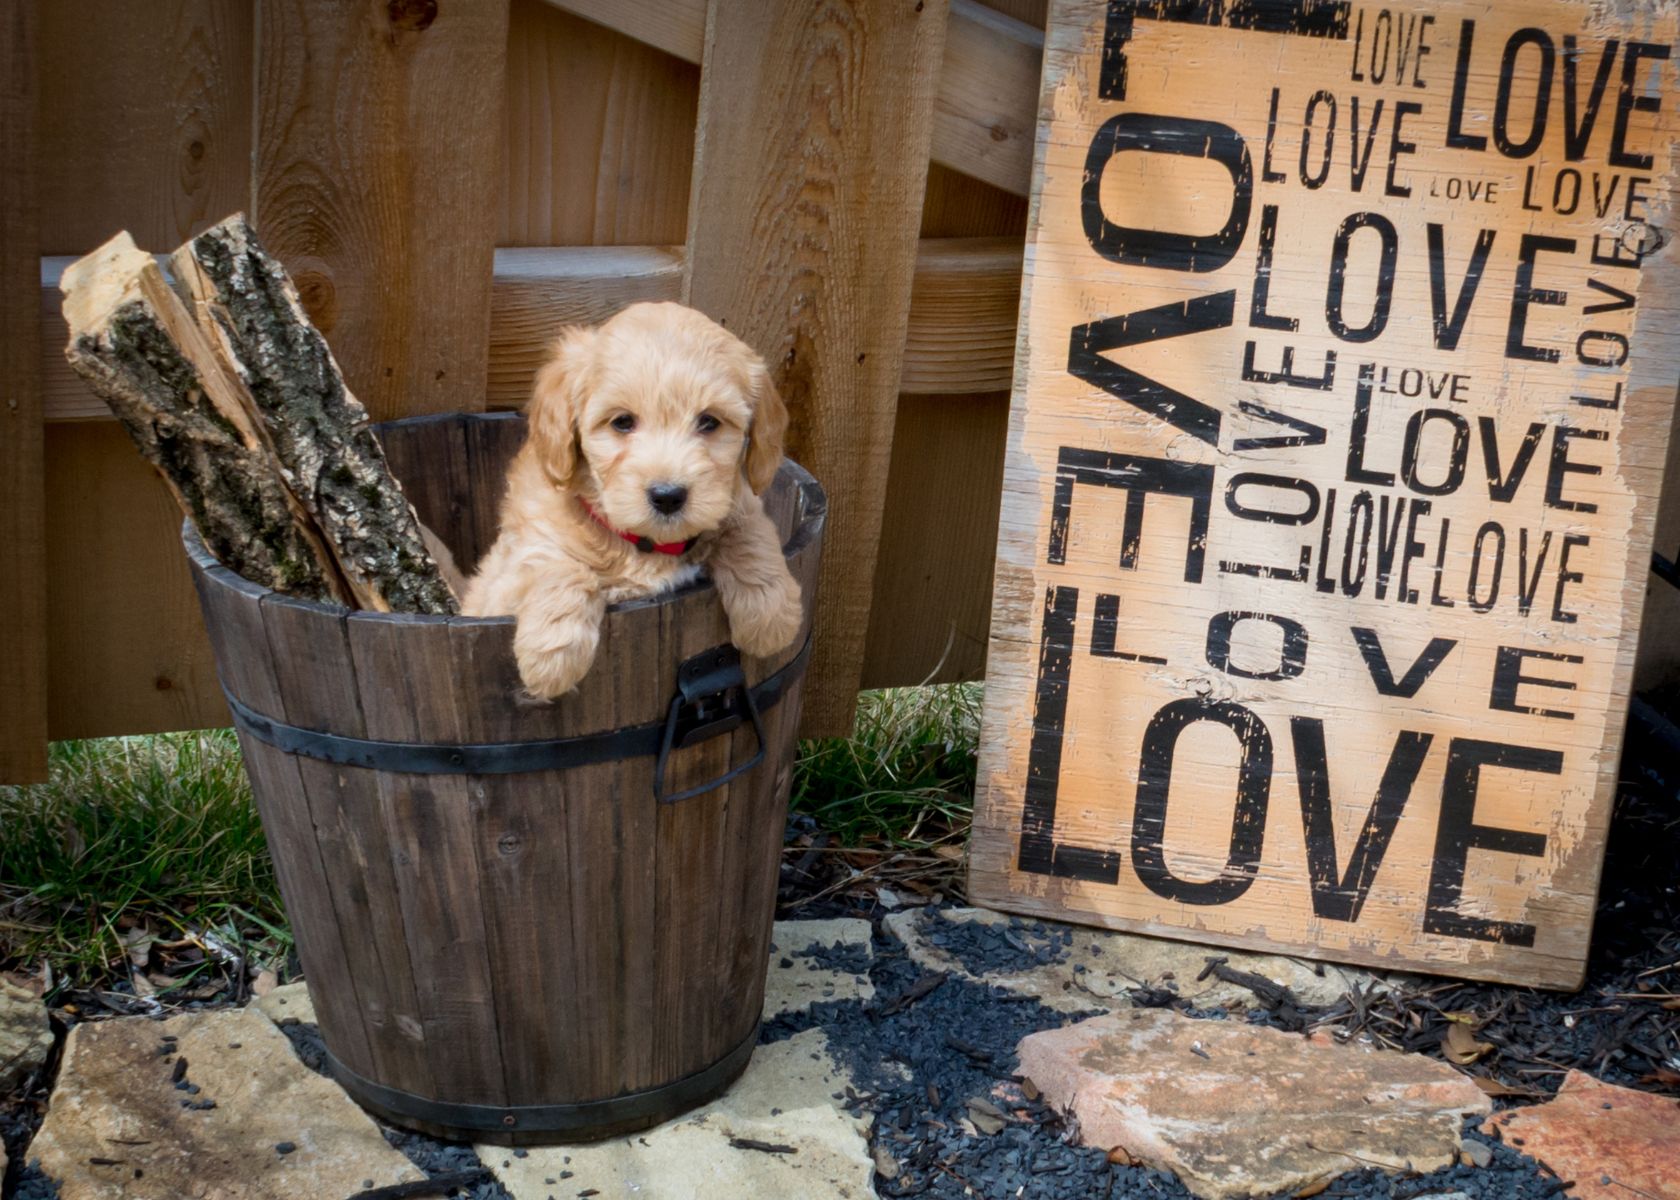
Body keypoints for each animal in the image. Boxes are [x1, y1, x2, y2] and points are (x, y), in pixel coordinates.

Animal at [460, 299, 799, 702]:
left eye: (709, 422)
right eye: (622, 422)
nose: (667, 496)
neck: (646, 545)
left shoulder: (738, 501)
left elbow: (748, 532)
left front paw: (771, 614)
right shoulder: (509, 576)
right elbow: (557, 563)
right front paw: (553, 656)